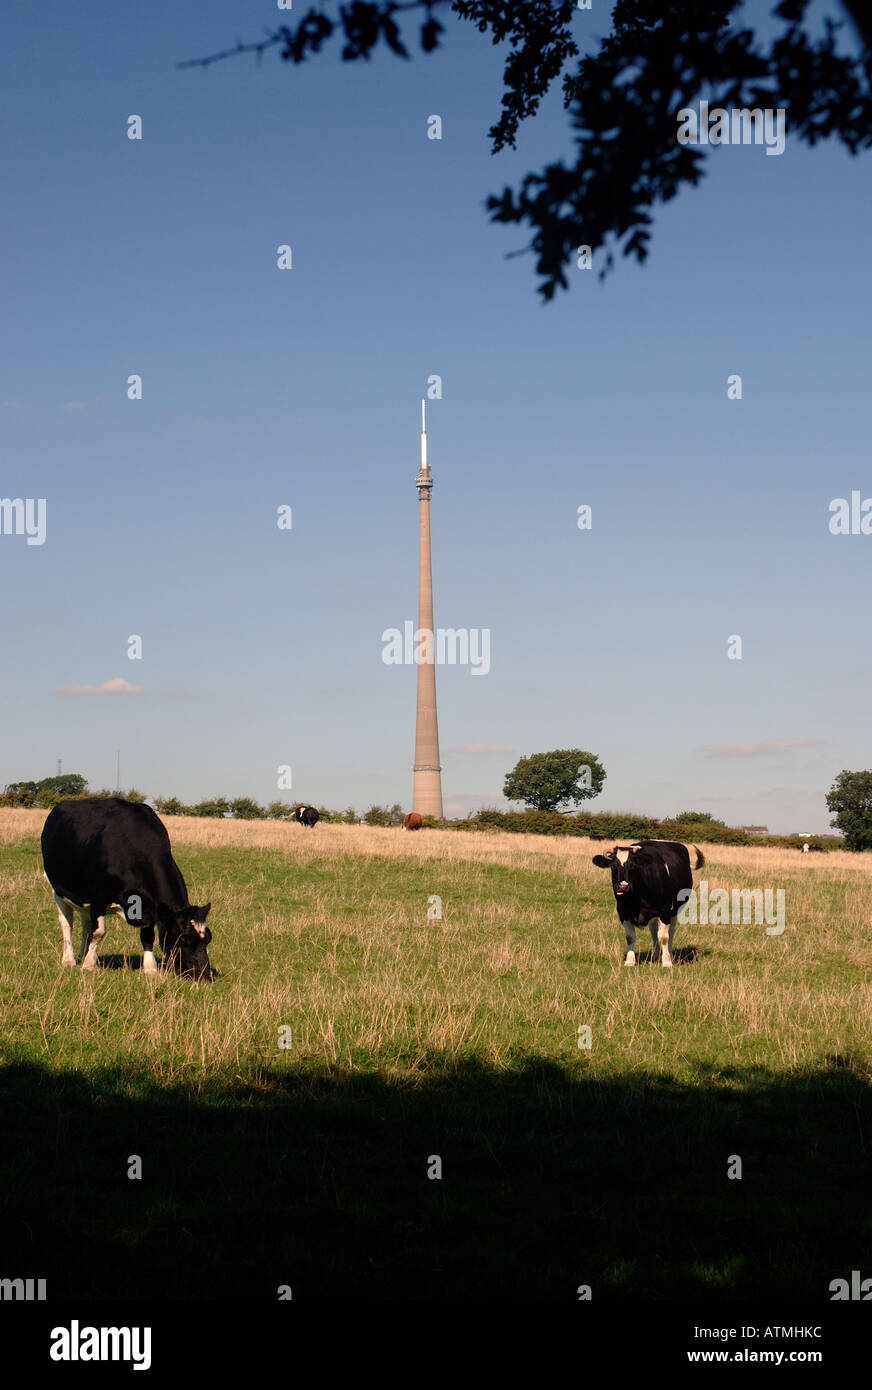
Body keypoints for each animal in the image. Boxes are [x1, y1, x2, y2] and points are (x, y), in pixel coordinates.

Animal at [42, 800, 215, 984]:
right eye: (183, 938)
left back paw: (83, 954)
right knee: (67, 923)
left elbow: (147, 935)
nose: (204, 975)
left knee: (86, 924)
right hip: (57, 890)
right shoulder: (98, 898)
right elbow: (99, 932)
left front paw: (150, 968)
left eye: (208, 938)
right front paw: (89, 965)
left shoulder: (149, 905)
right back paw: (69, 959)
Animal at [589, 839, 706, 973]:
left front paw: (666, 962)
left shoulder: (665, 911)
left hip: (675, 911)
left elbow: (664, 937)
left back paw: (669, 955)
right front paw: (630, 961)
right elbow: (630, 937)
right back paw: (655, 956)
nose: (623, 886)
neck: (635, 899)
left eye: (633, 866)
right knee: (654, 931)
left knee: (670, 932)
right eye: (613, 866)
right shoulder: (623, 912)